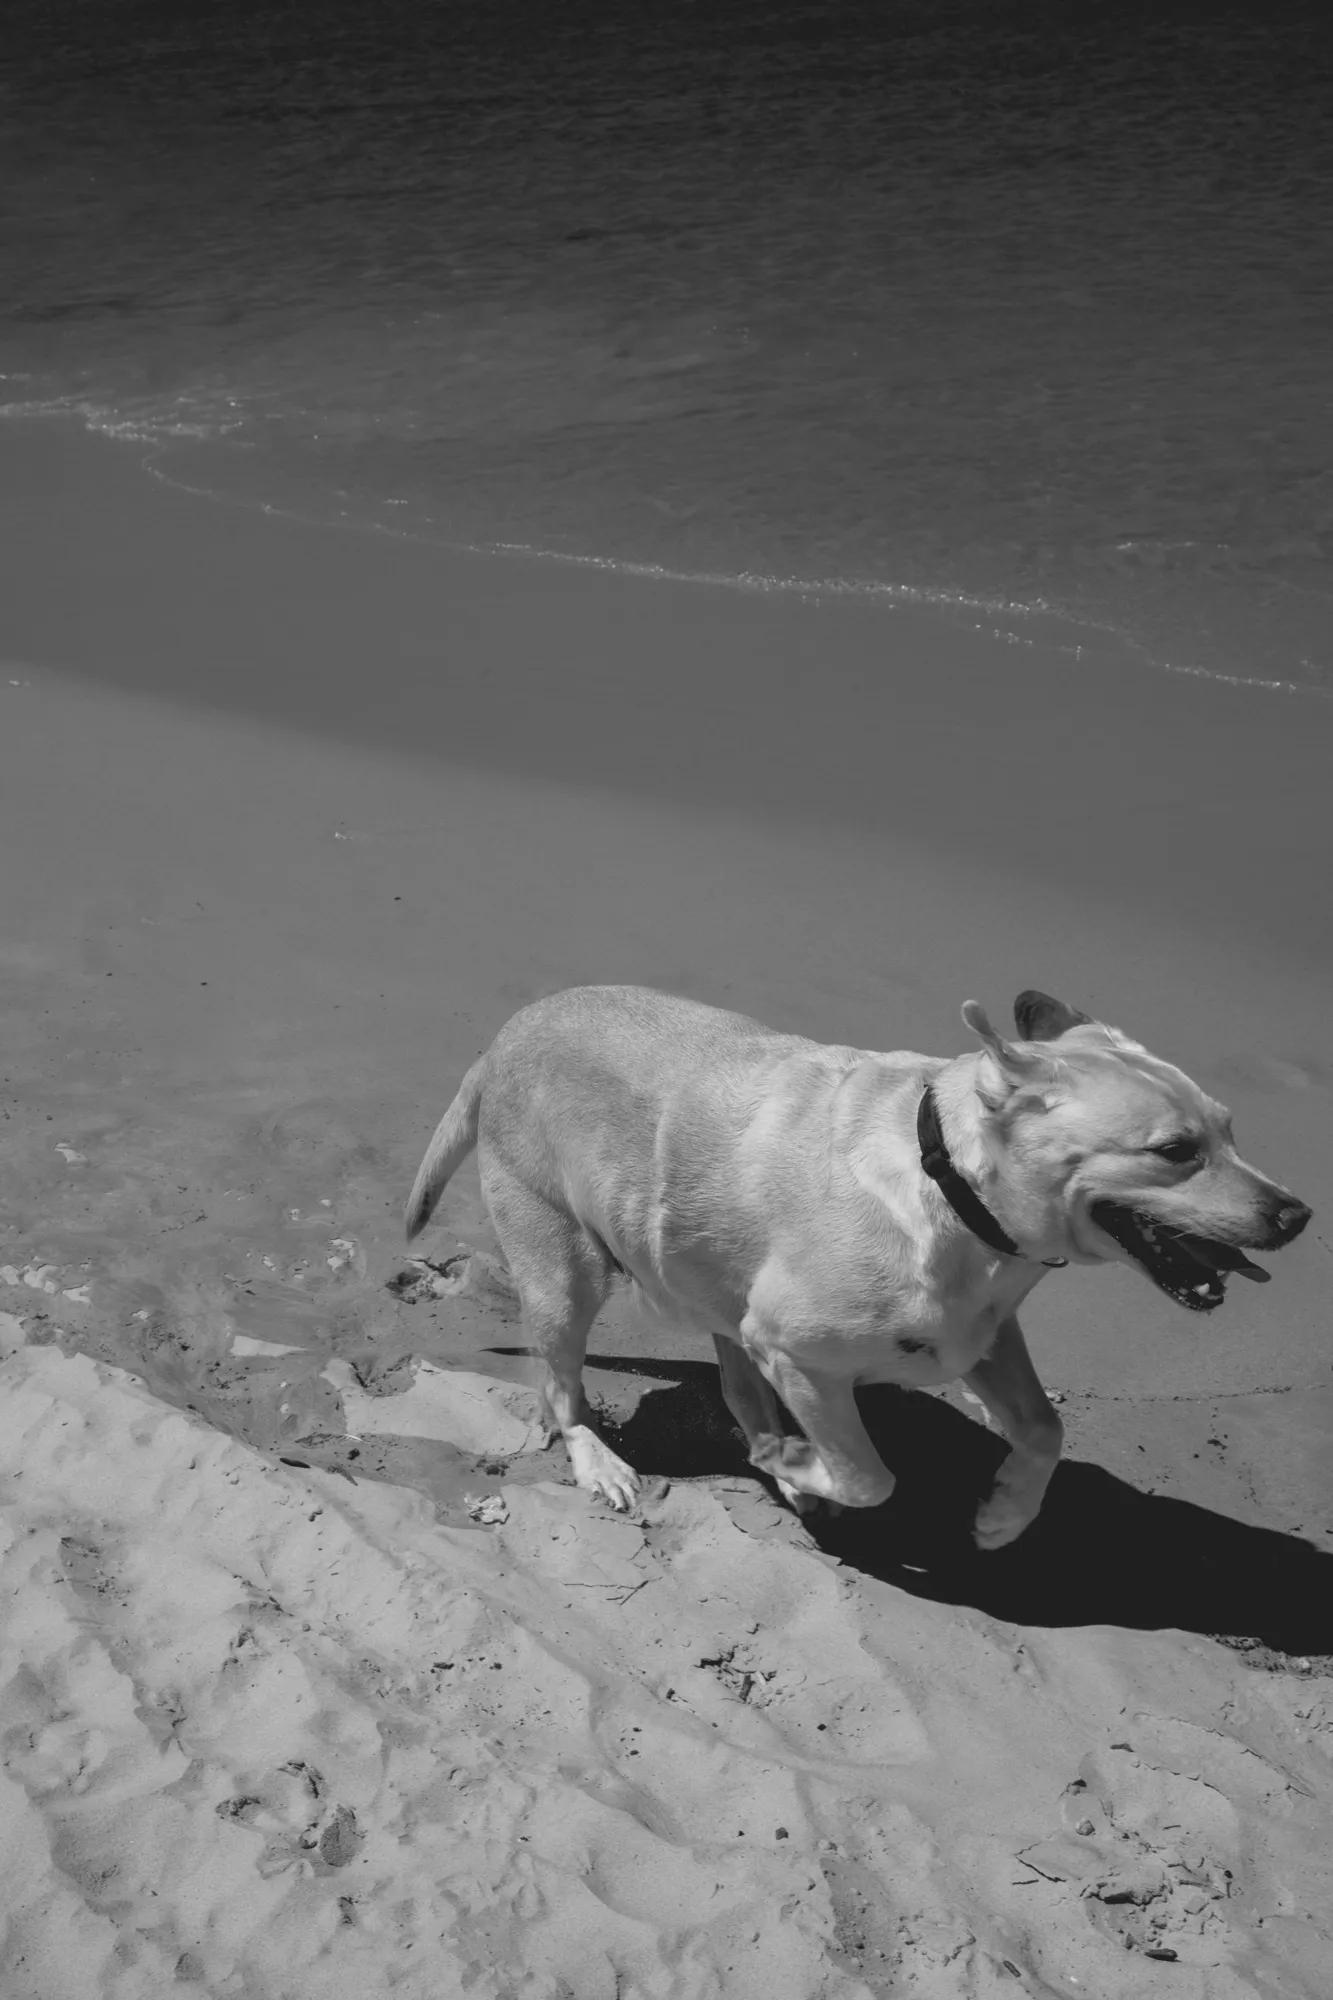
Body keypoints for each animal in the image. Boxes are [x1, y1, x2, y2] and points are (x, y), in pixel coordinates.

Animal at [400, 984, 1304, 1544]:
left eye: (1230, 1130)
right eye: (1174, 1151)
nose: (1296, 1215)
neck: (949, 1185)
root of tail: (509, 1031)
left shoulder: (982, 1335)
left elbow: (1045, 1426)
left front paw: (1006, 1514)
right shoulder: (804, 1358)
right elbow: (870, 1476)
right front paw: (798, 1464)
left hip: (707, 1268)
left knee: (732, 1373)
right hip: (565, 1272)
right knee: (562, 1388)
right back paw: (608, 1460)